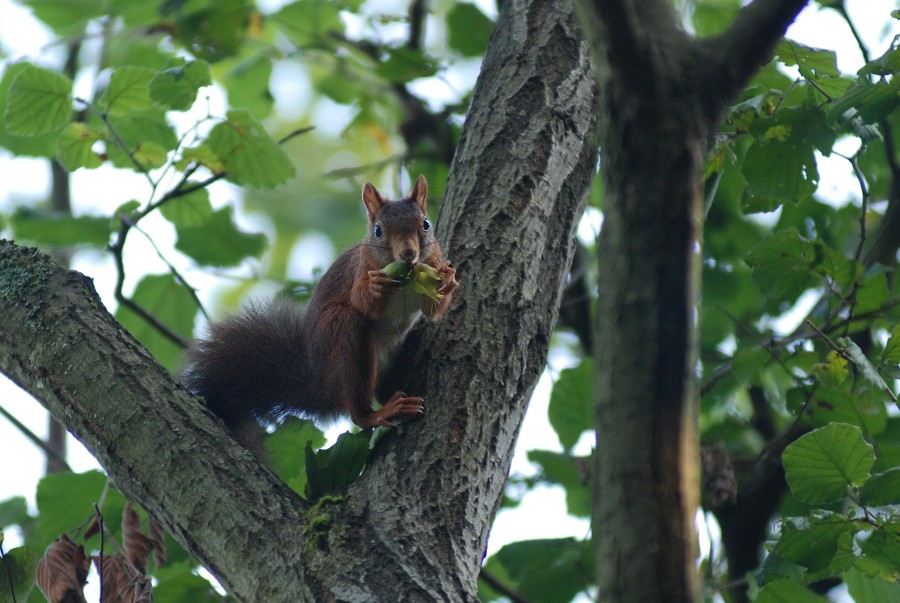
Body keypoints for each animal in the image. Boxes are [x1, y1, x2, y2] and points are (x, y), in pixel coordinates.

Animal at [185, 175, 460, 452]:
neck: (406, 279)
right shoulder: (360, 271)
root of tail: (323, 384)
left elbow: (433, 310)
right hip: (342, 337)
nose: (408, 254)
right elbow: (361, 301)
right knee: (358, 407)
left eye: (425, 224)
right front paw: (376, 287)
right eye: (378, 230)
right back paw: (376, 414)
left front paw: (448, 279)